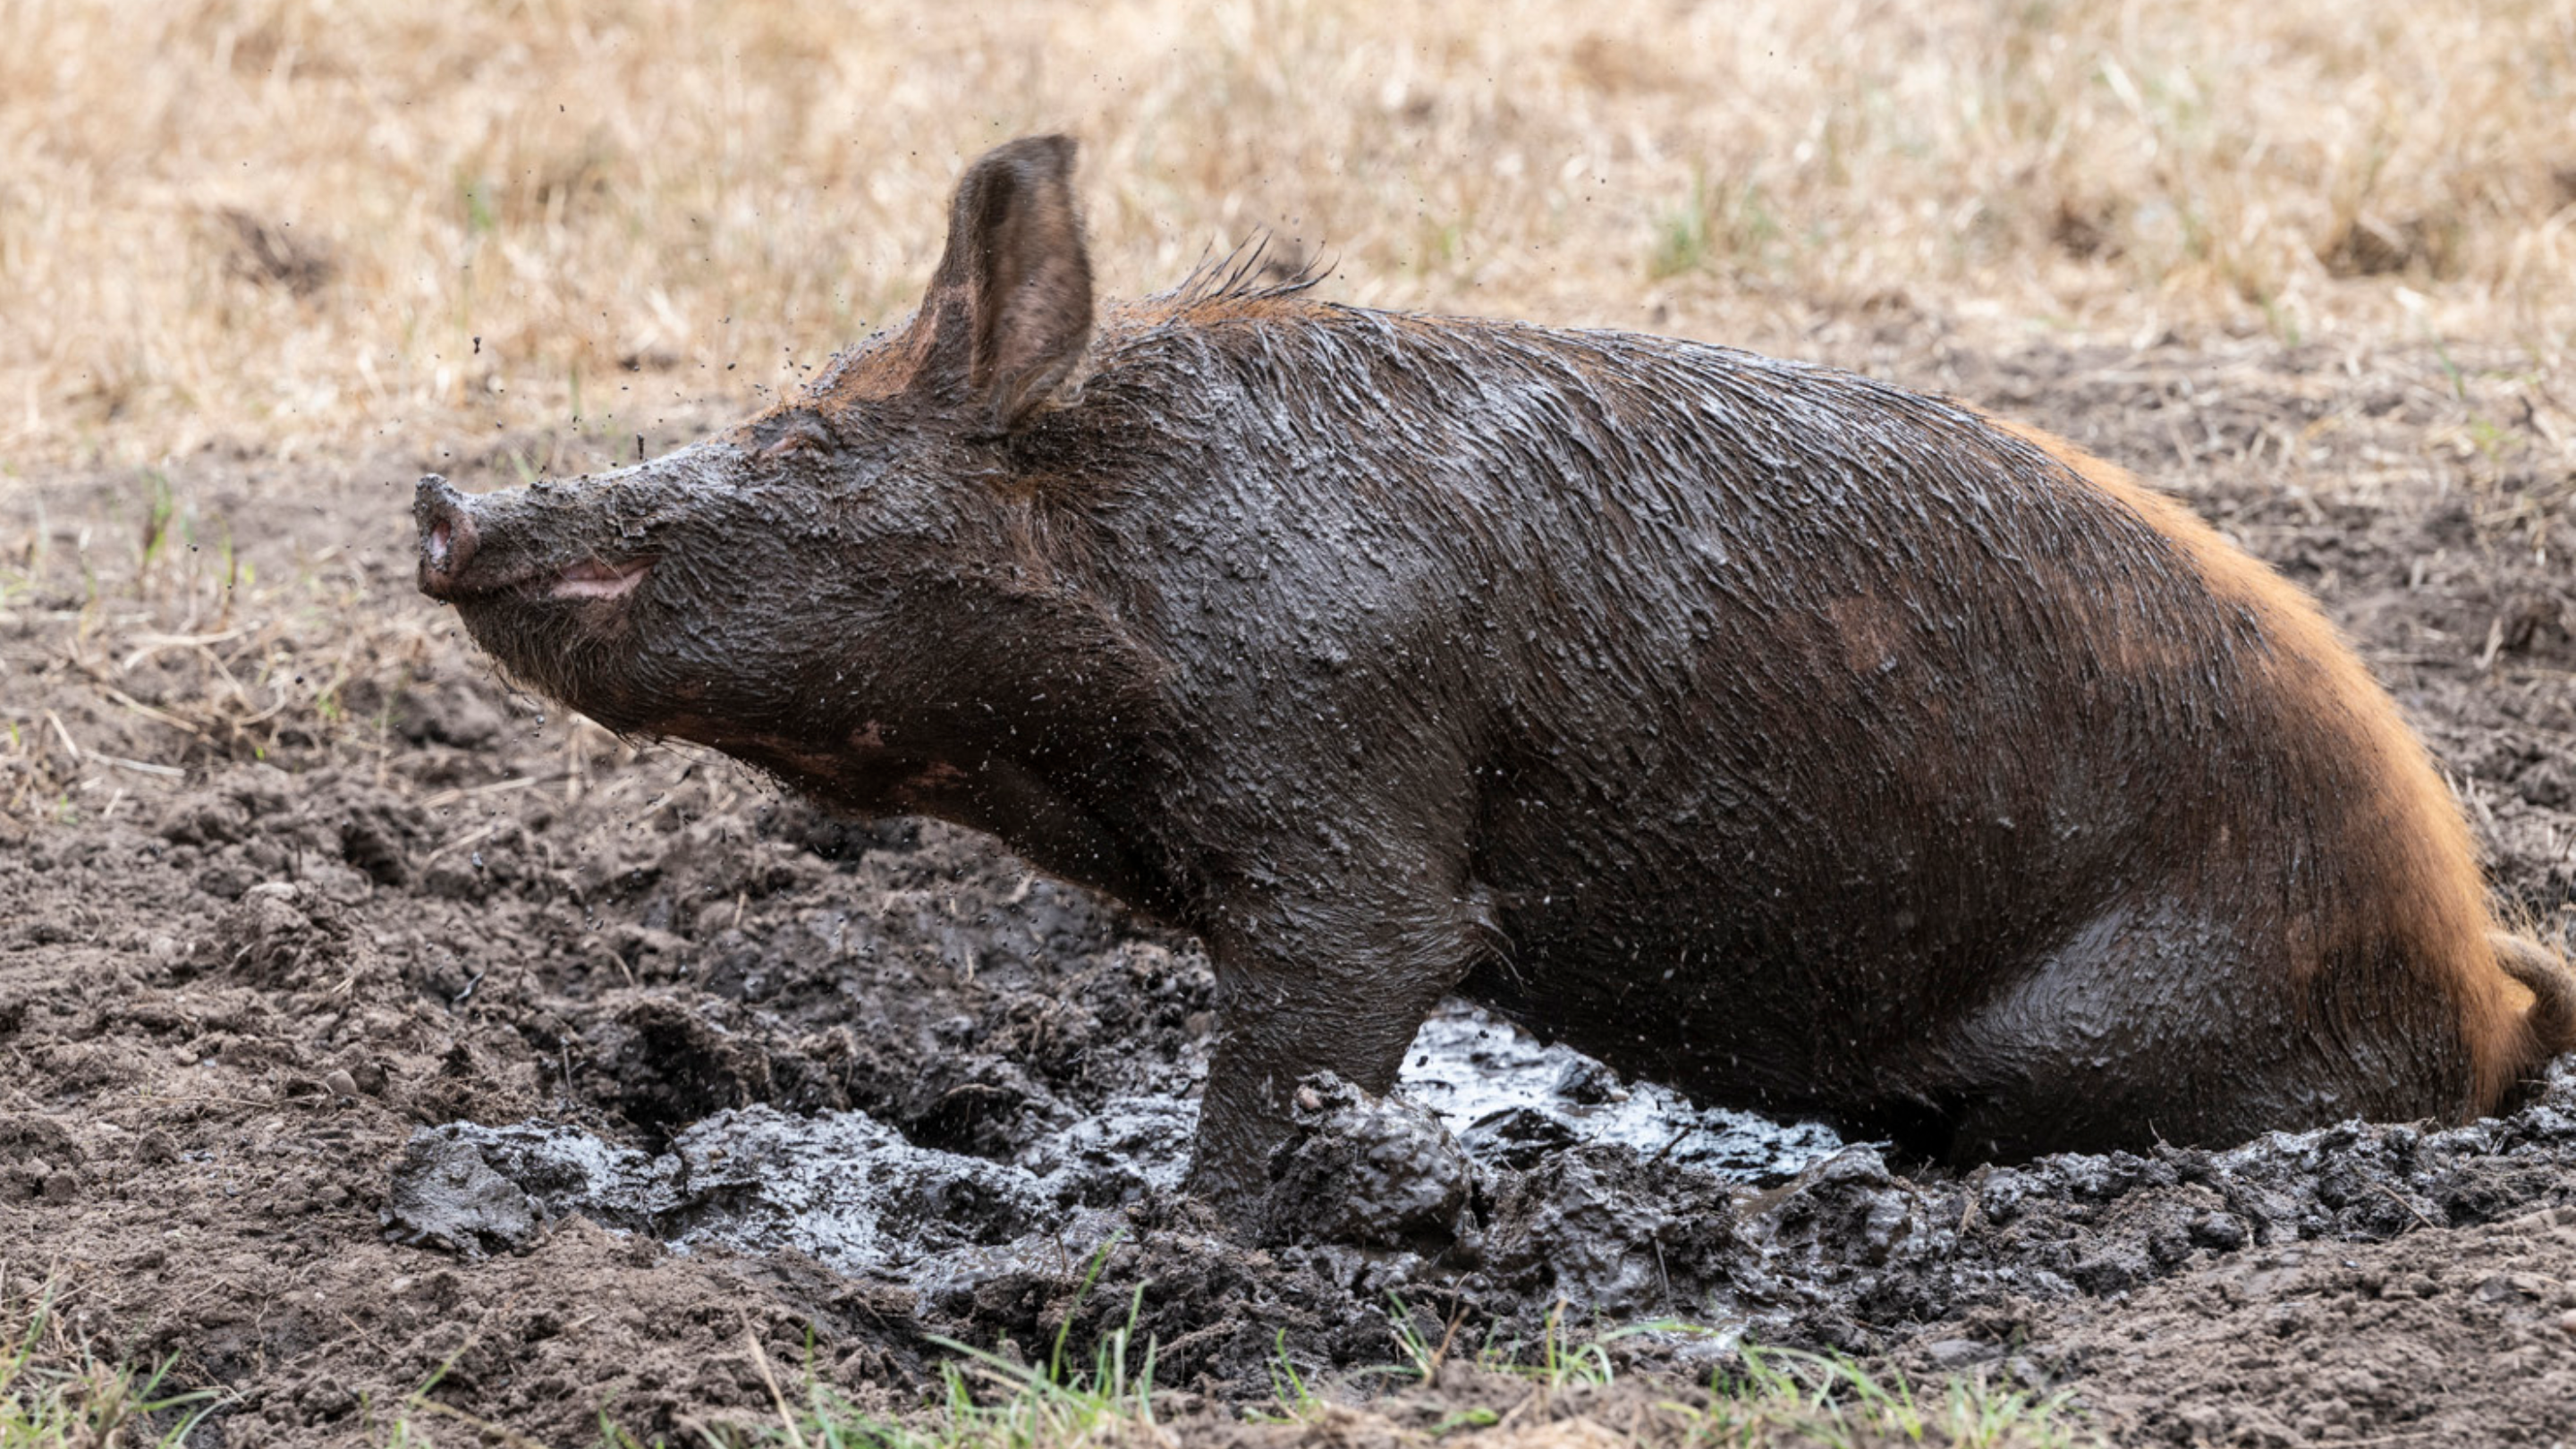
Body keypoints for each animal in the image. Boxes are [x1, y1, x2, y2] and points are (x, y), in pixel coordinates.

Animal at [415, 135, 2575, 1206]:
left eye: (796, 433)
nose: (443, 497)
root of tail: (2481, 981)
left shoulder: (1345, 776)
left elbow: (1320, 1023)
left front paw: (1177, 1243)